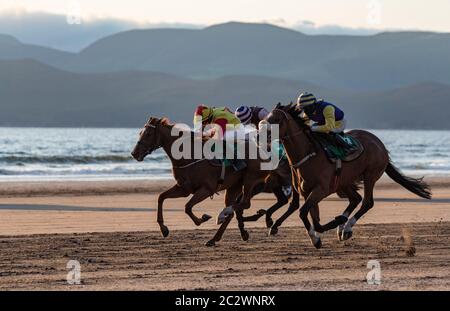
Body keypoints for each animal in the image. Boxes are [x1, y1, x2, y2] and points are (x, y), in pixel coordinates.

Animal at [128, 117, 286, 246]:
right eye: (140, 132)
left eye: (148, 134)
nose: (134, 153)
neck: (188, 156)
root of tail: (263, 151)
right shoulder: (183, 188)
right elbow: (161, 197)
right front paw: (164, 229)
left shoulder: (206, 189)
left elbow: (187, 207)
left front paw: (202, 218)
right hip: (234, 186)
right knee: (234, 209)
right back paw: (215, 237)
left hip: (250, 179)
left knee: (244, 203)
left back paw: (223, 215)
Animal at [260, 103, 432, 250]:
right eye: (267, 117)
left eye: (276, 119)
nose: (260, 134)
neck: (307, 155)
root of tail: (380, 144)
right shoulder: (306, 191)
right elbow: (310, 217)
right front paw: (317, 236)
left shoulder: (320, 190)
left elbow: (305, 214)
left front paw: (318, 237)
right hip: (343, 183)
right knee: (355, 198)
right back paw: (342, 226)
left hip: (370, 175)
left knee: (367, 202)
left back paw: (346, 227)